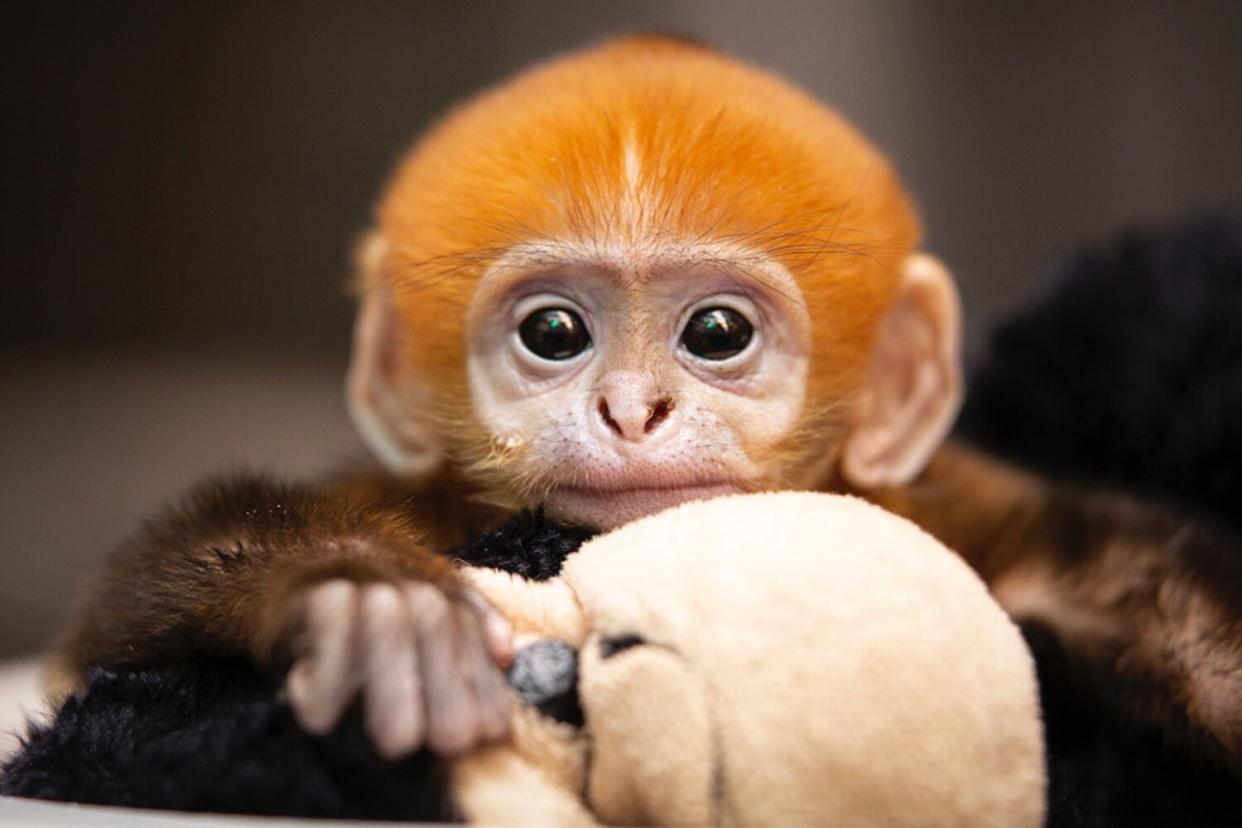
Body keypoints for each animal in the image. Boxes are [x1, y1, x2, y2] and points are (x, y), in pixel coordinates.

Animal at [58, 35, 1242, 769]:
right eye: (553, 334)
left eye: (717, 334)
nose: (632, 410)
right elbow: (111, 634)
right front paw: (364, 604)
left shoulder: (970, 513)